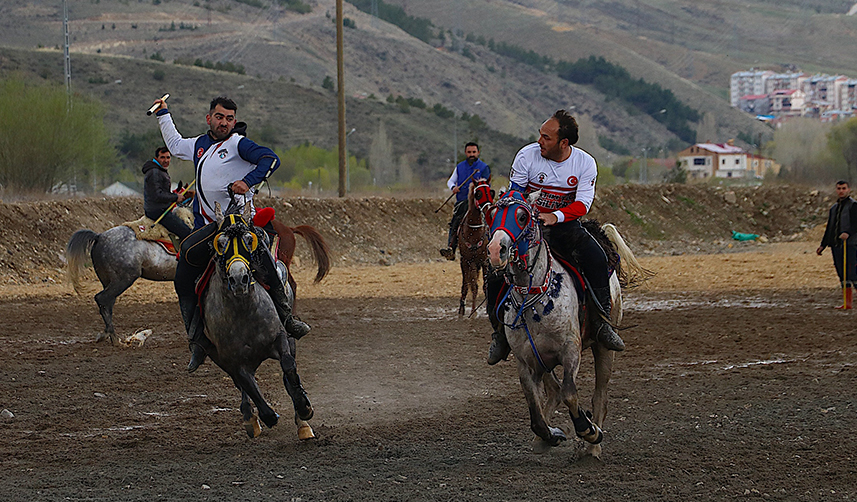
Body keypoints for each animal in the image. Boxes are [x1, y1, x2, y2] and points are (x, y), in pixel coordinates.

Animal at [201, 201, 314, 440]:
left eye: (248, 239)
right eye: (221, 243)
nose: (239, 279)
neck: (244, 312)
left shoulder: (281, 338)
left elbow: (288, 367)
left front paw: (304, 408)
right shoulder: (232, 360)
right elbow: (247, 384)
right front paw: (266, 416)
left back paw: (302, 422)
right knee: (243, 385)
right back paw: (250, 417)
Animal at [484, 190, 644, 456]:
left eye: (522, 216)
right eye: (493, 214)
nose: (497, 250)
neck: (535, 300)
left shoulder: (570, 351)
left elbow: (571, 394)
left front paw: (589, 430)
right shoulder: (526, 362)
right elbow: (536, 413)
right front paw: (552, 435)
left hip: (604, 349)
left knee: (599, 397)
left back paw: (593, 449)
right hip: (543, 362)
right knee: (554, 391)